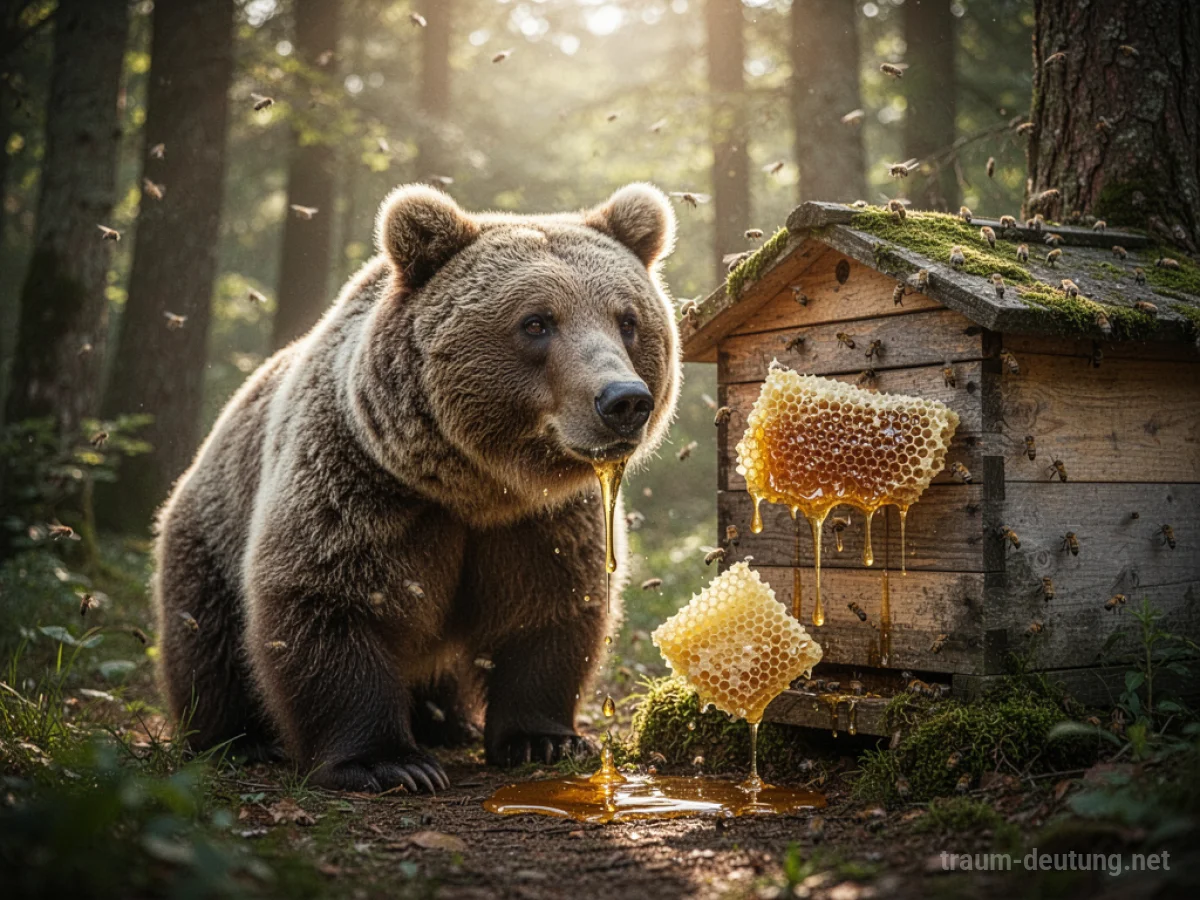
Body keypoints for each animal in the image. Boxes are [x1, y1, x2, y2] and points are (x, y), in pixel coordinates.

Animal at [153, 183, 681, 794]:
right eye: (536, 322)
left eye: (628, 320)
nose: (624, 400)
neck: (477, 488)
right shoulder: (360, 483)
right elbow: (330, 598)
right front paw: (389, 762)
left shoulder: (541, 521)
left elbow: (552, 609)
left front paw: (544, 739)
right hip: (209, 535)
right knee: (206, 639)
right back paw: (241, 739)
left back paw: (447, 724)